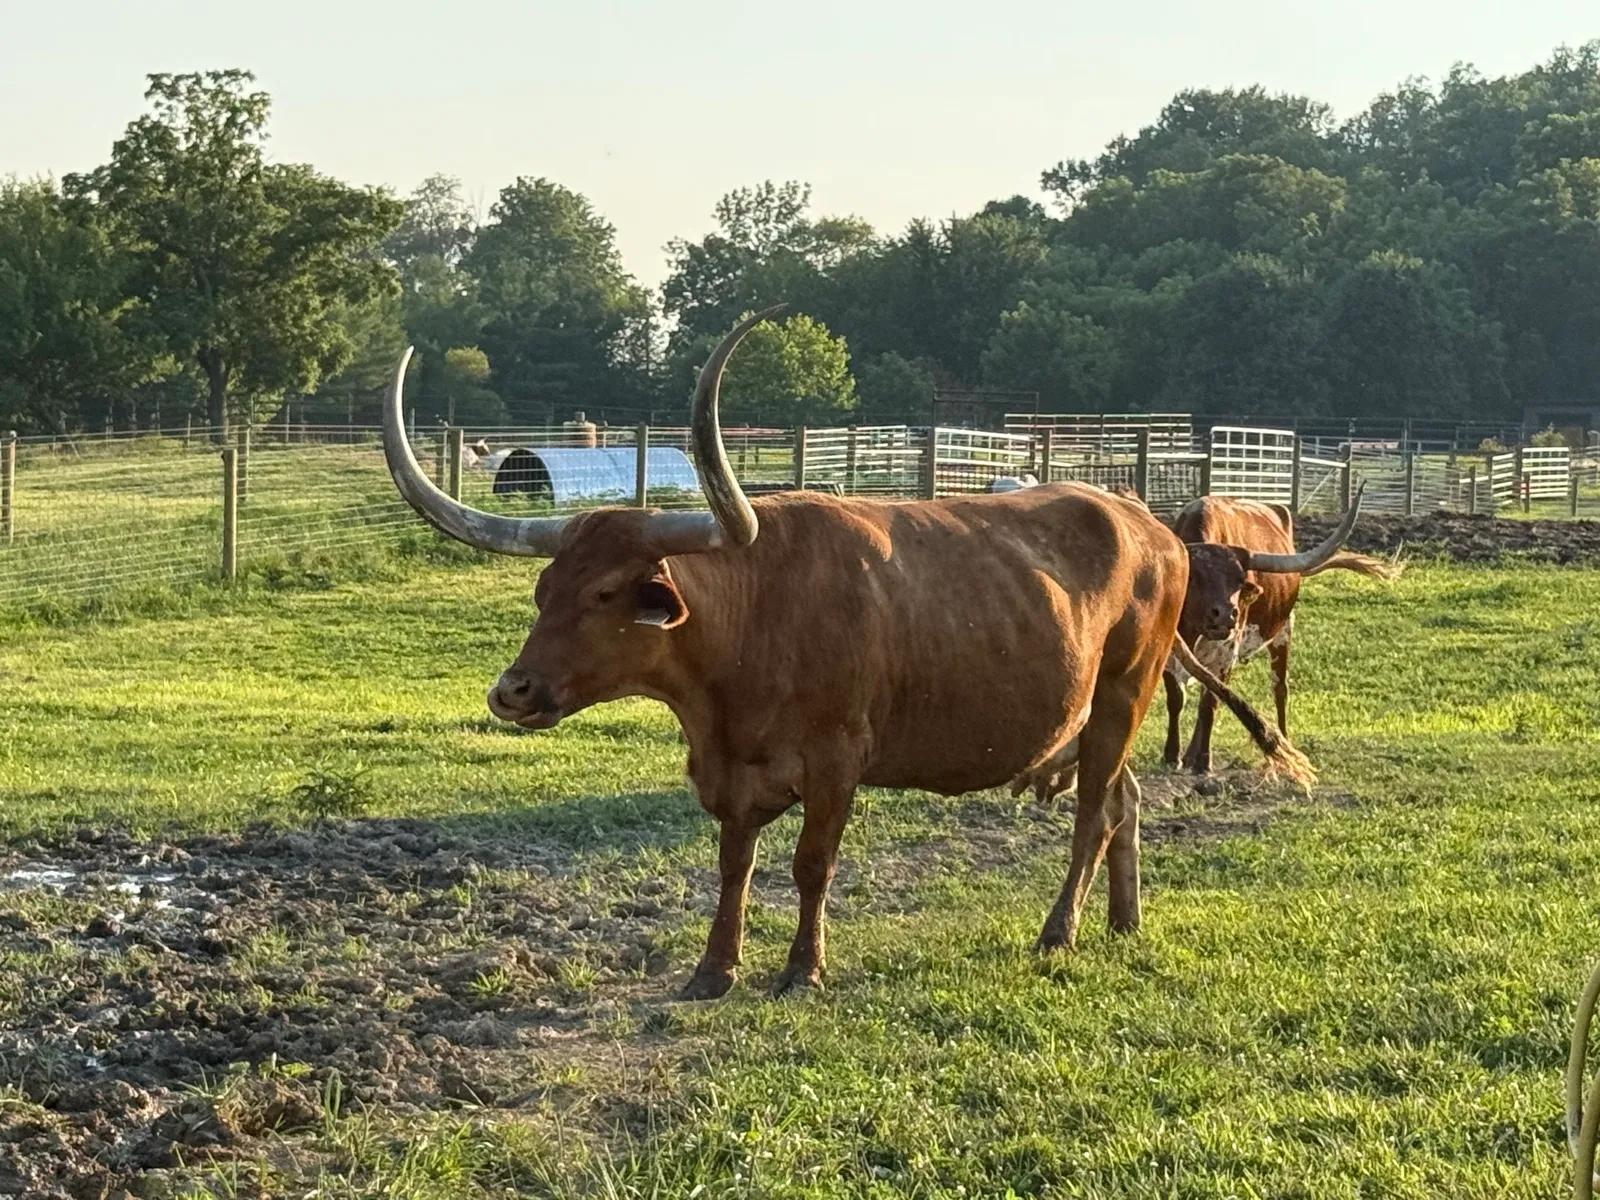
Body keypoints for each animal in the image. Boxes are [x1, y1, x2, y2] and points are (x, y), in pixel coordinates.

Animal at [380, 309, 1312, 999]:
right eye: (544, 589)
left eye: (607, 593)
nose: (512, 691)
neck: (746, 640)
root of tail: (1149, 524)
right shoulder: (731, 776)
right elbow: (734, 866)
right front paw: (713, 969)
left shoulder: (836, 763)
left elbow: (810, 865)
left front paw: (802, 969)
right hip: (1088, 715)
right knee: (1123, 800)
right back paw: (1123, 920)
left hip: (1124, 691)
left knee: (1092, 813)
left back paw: (1060, 932)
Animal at [1164, 496, 1401, 775]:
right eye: (1194, 577)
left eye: (1239, 581)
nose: (1226, 615)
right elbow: (1176, 699)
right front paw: (1172, 755)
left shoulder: (1226, 651)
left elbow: (1209, 703)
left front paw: (1202, 761)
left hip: (1284, 631)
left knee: (1279, 689)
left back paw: (1282, 739)